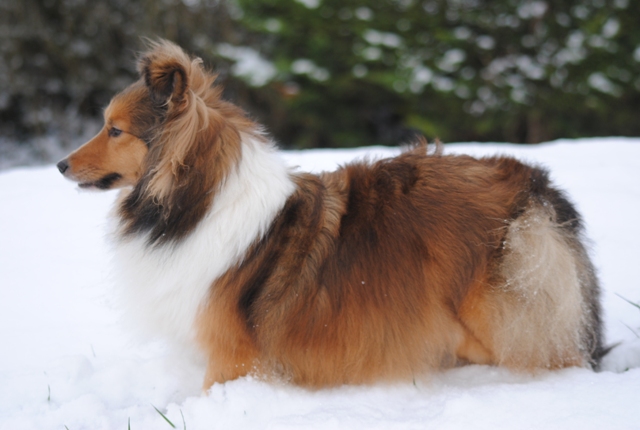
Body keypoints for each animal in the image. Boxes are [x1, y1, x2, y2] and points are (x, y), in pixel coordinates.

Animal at [56, 41, 604, 390]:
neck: (198, 201)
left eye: (115, 130)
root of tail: (534, 182)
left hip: (501, 311)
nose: (60, 164)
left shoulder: (230, 355)